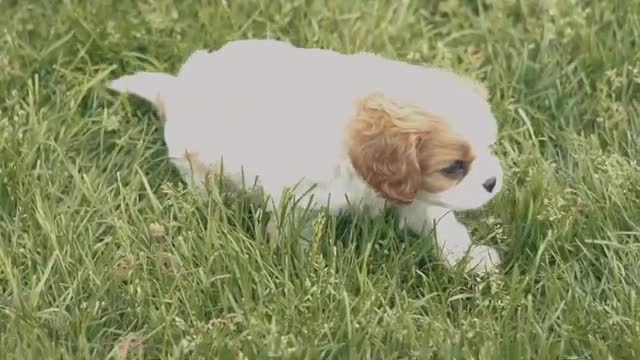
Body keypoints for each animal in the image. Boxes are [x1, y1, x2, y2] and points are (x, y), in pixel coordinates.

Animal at [107, 38, 502, 272]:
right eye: (454, 168)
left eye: (489, 147)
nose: (493, 181)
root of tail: (175, 90)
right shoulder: (295, 196)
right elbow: (294, 230)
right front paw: (301, 265)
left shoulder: (413, 194)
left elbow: (441, 223)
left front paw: (470, 259)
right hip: (197, 162)